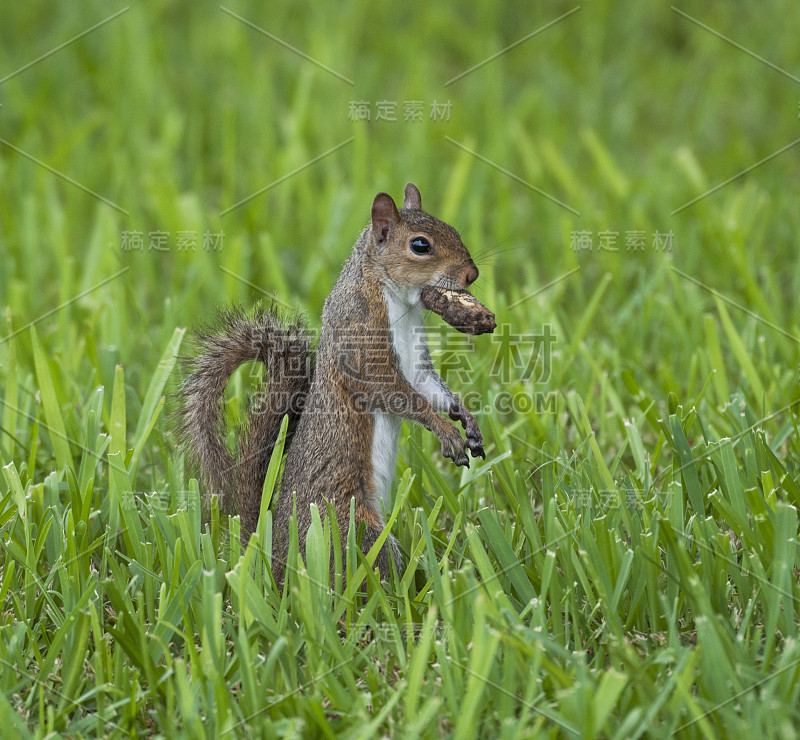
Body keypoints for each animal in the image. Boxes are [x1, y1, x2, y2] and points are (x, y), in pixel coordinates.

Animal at [177, 185, 488, 584]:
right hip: (350, 530)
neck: (394, 298)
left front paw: (465, 418)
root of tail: (271, 565)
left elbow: (428, 387)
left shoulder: (416, 364)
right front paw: (445, 431)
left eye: (453, 229)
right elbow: (391, 392)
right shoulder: (360, 340)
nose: (471, 275)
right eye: (420, 245)